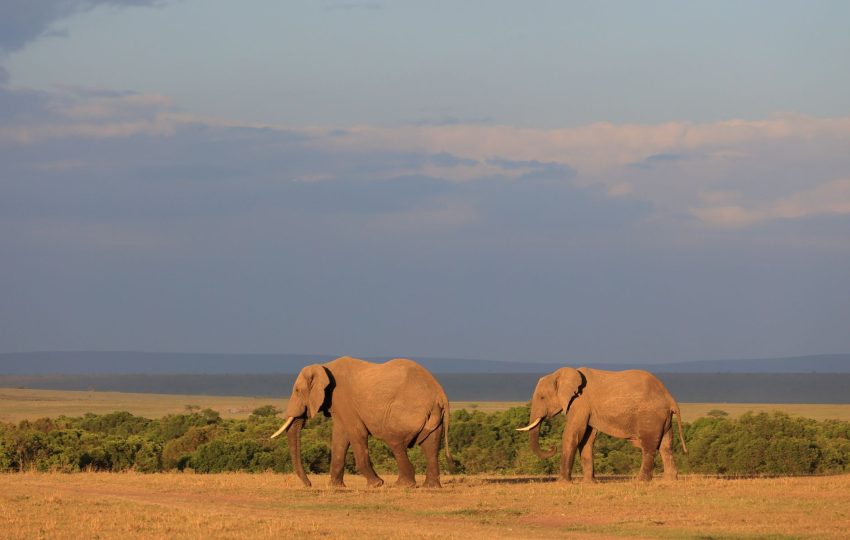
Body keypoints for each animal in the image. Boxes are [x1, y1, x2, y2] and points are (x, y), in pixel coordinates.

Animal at [270, 356, 453, 488]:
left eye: (297, 391)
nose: (309, 484)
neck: (324, 366)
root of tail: (440, 393)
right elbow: (340, 436)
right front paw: (336, 487)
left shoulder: (342, 398)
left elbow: (356, 433)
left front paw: (376, 485)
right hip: (433, 415)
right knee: (430, 445)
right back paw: (431, 487)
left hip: (407, 411)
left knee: (394, 441)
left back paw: (403, 485)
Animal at [517, 367, 687, 482]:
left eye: (542, 397)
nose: (552, 448)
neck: (561, 374)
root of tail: (670, 398)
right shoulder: (588, 409)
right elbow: (587, 439)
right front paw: (589, 483)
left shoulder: (580, 402)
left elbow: (572, 435)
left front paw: (563, 483)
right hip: (663, 419)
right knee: (666, 446)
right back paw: (670, 480)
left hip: (650, 416)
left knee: (649, 446)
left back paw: (640, 481)